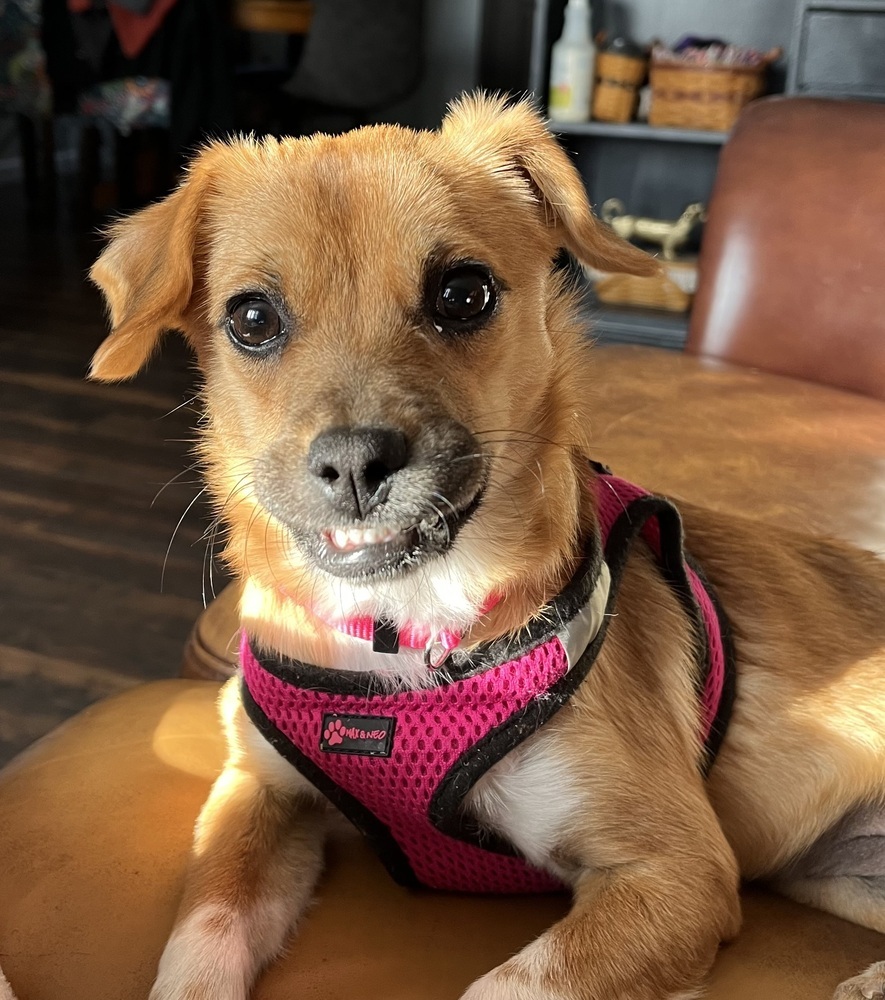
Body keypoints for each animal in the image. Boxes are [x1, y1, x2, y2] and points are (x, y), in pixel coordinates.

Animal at [84, 95, 884, 1000]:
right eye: (251, 318)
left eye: (462, 294)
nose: (354, 463)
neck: (399, 630)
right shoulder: (254, 792)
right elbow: (200, 940)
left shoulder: (674, 871)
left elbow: (502, 986)